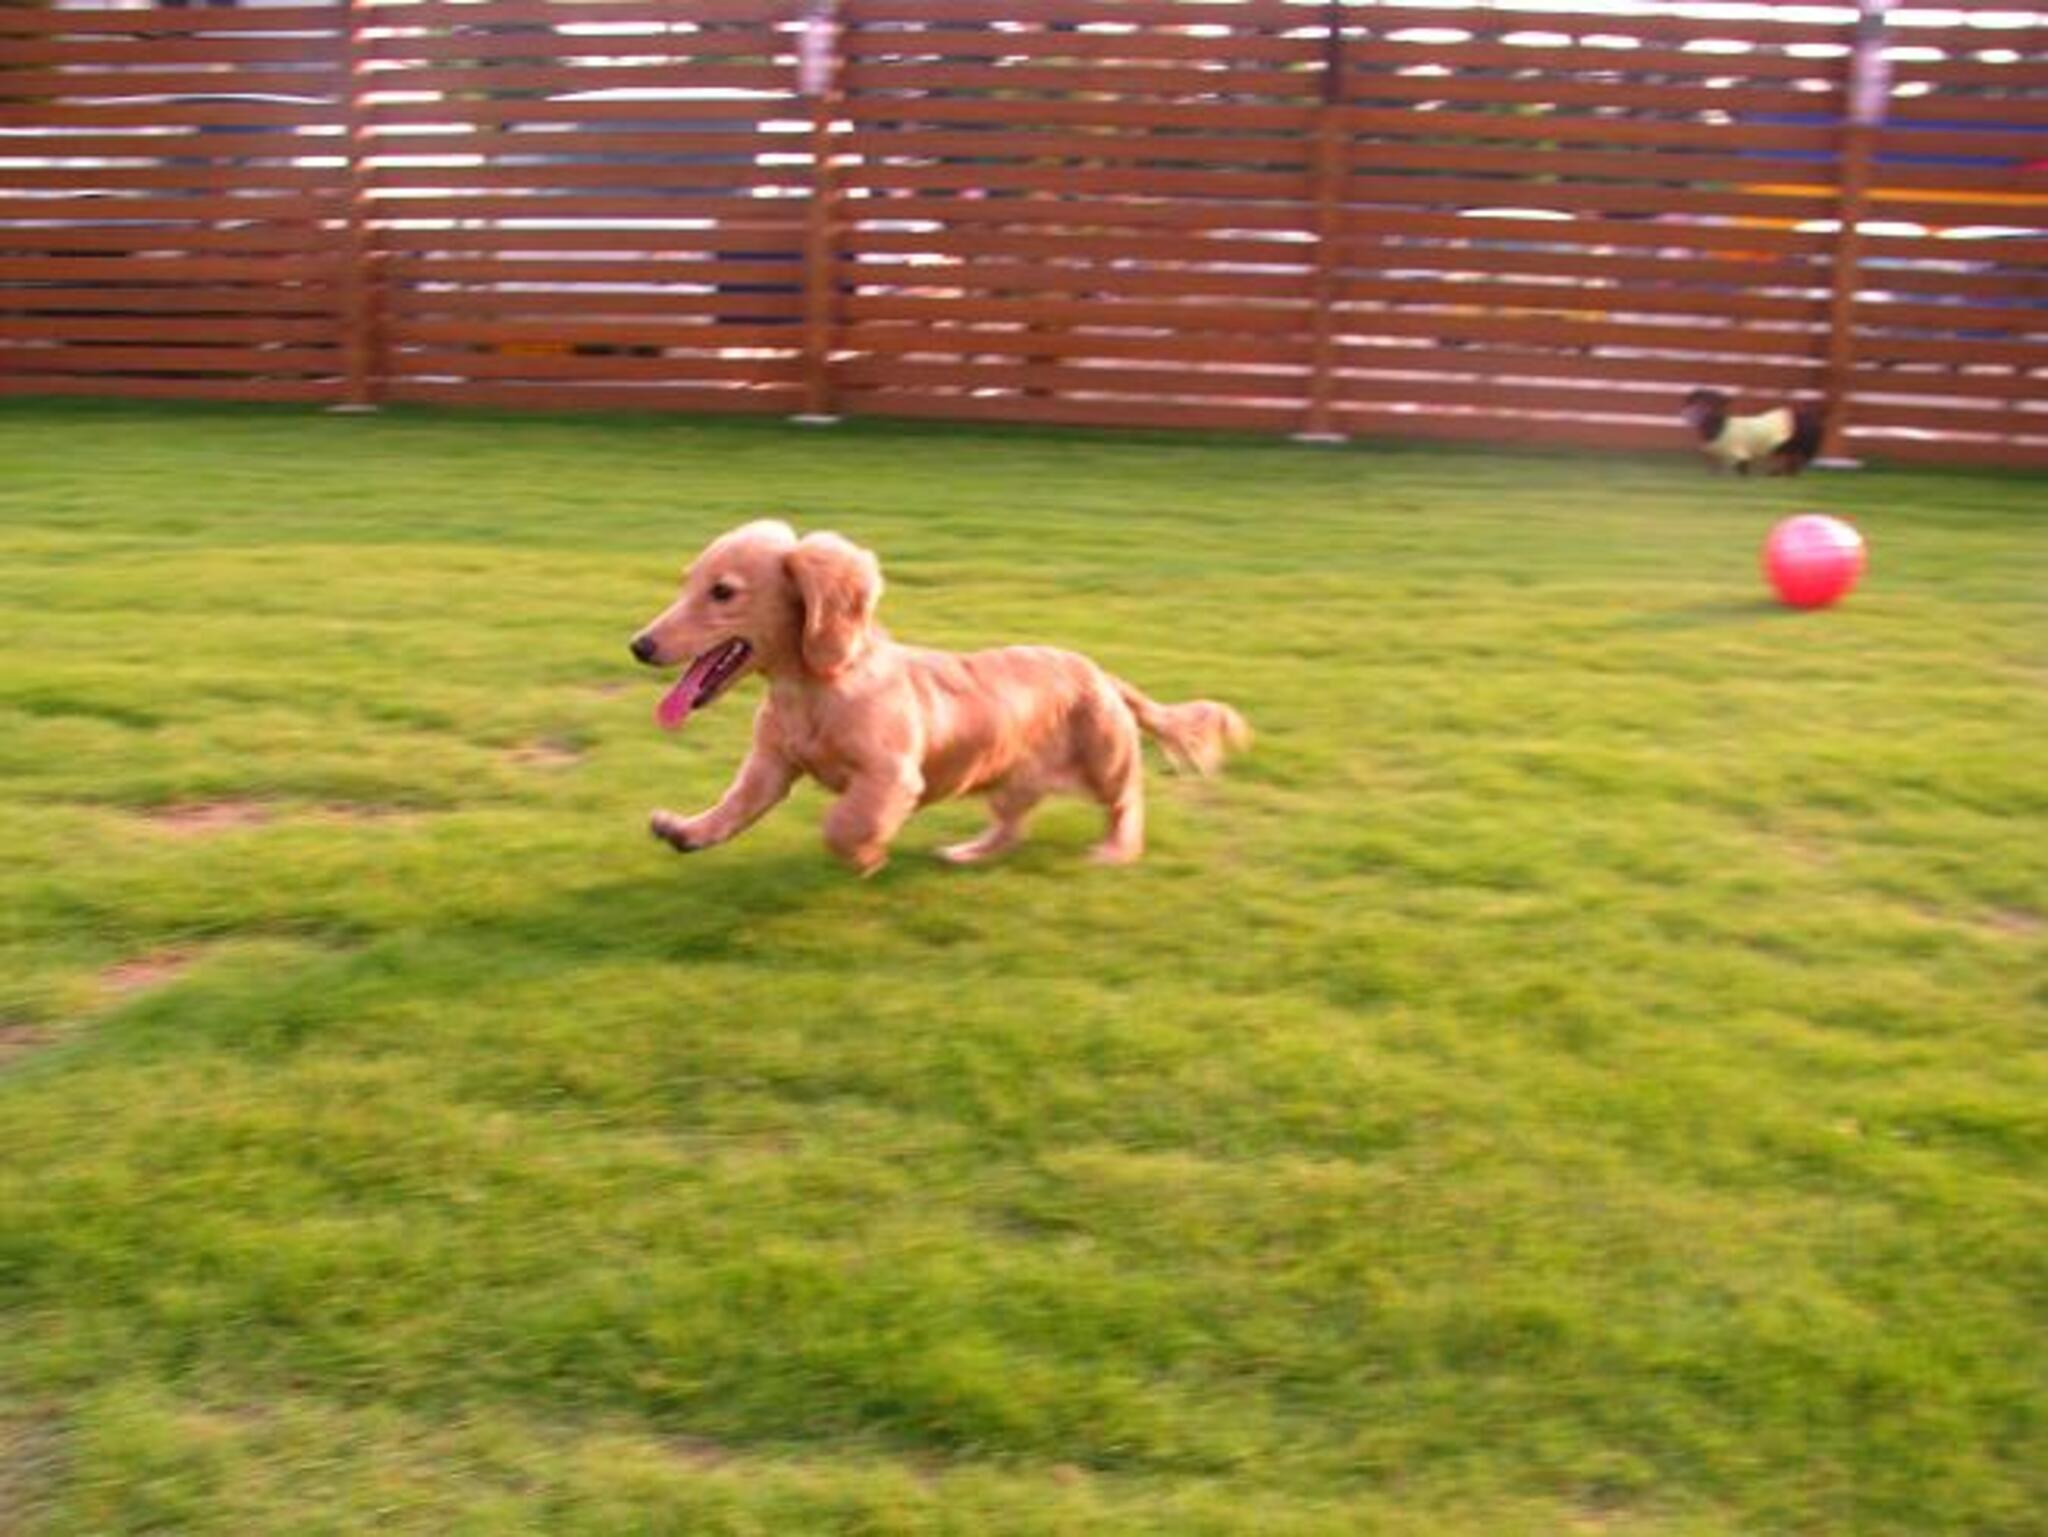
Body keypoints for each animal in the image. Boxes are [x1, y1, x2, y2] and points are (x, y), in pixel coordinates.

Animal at [630, 520, 1253, 873]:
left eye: (723, 592)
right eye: (687, 584)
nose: (639, 645)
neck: (814, 692)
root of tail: (1101, 672)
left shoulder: (890, 777)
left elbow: (844, 823)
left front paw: (866, 856)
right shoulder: (770, 766)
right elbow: (733, 807)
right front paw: (684, 830)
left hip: (1106, 761)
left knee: (1127, 804)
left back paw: (1115, 853)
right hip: (1009, 778)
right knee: (1011, 828)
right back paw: (966, 854)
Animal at [1679, 385, 1826, 475]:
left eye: (1714, 402)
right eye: (1697, 400)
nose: (1691, 414)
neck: (1720, 428)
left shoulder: (1740, 457)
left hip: (1802, 446)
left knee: (1797, 463)